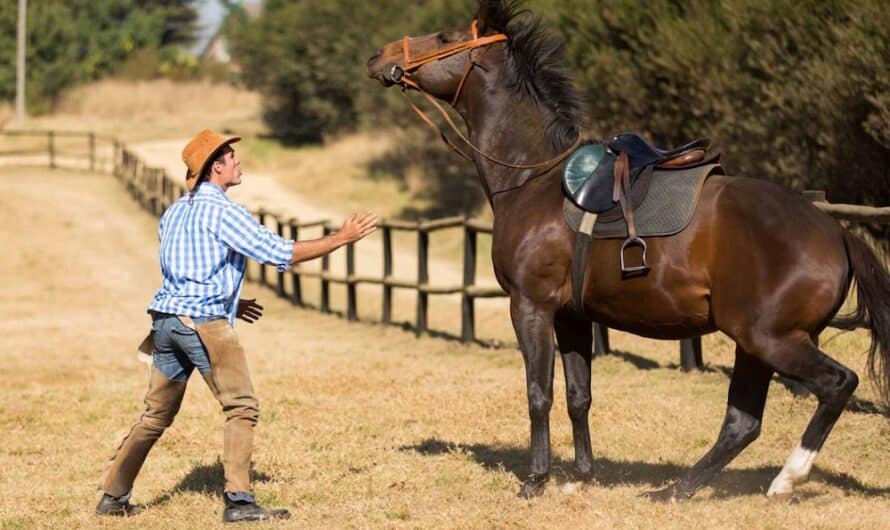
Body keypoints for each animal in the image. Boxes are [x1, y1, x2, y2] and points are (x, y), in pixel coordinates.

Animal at [362, 0, 888, 500]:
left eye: (444, 37)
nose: (378, 57)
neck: (534, 180)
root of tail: (834, 230)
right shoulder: (571, 316)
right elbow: (579, 395)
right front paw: (582, 477)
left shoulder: (531, 306)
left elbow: (539, 393)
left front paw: (536, 479)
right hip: (754, 345)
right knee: (742, 425)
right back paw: (673, 491)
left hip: (770, 339)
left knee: (836, 385)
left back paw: (786, 479)